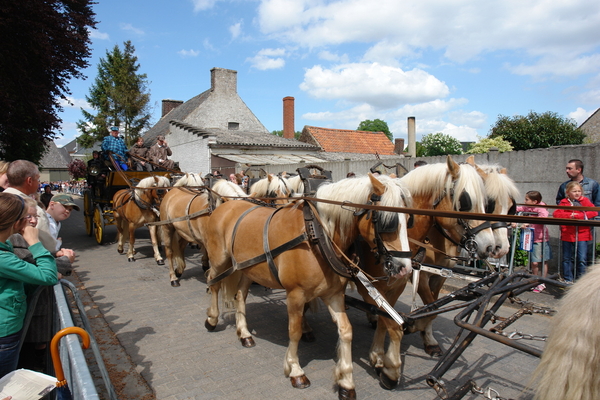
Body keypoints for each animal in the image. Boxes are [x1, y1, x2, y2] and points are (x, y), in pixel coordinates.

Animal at [204, 175, 414, 400]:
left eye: (409, 220)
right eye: (387, 221)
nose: (405, 268)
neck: (317, 236)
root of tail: (226, 204)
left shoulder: (333, 294)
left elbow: (346, 331)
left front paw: (346, 381)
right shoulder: (295, 294)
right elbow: (294, 331)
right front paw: (295, 370)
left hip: (247, 268)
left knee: (240, 295)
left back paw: (244, 333)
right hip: (219, 261)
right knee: (213, 283)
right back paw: (212, 319)